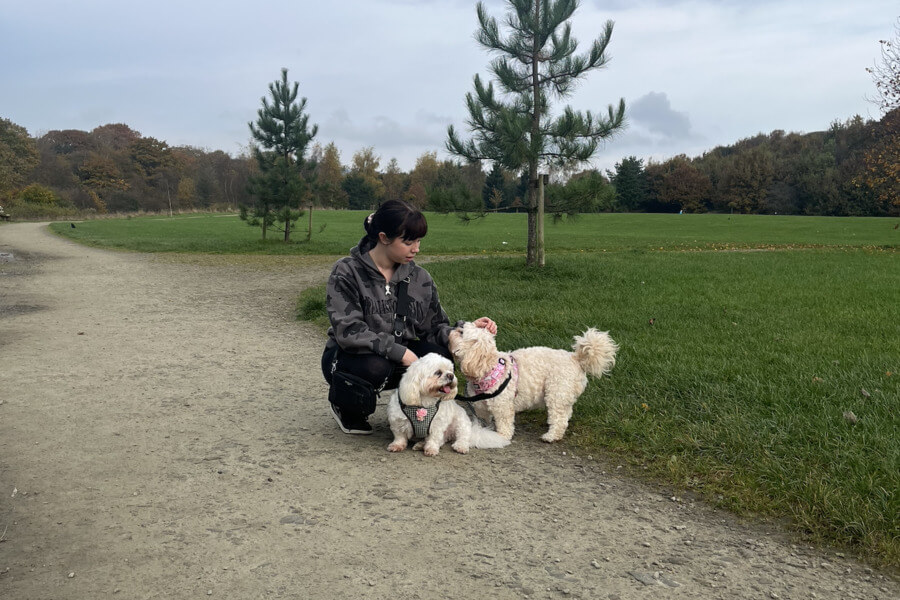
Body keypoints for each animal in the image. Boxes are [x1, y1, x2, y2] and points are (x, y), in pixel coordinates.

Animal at [450, 322, 620, 442]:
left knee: (559, 419)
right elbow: (483, 419)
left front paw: (501, 436)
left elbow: (504, 423)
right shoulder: (481, 407)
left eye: (461, 332)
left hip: (556, 393)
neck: (488, 367)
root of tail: (575, 358)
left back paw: (551, 436)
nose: (456, 324)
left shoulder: (503, 406)